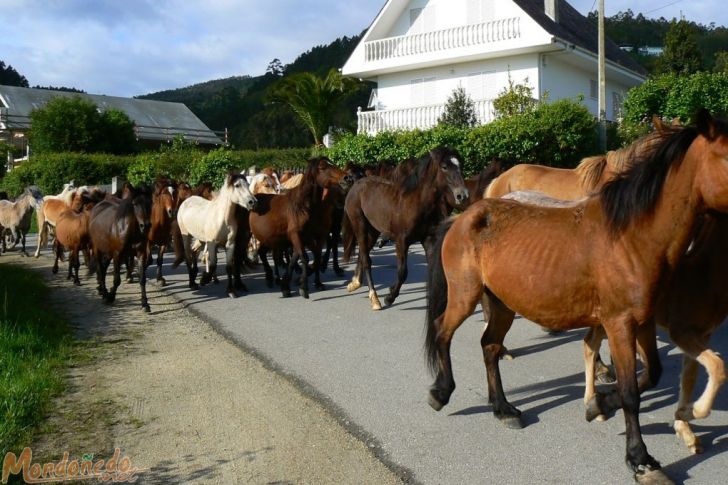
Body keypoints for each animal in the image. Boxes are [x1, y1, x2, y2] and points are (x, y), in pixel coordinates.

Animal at [90, 183, 154, 312]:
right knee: (100, 269)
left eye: (150, 203)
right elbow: (117, 279)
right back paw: (104, 293)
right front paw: (110, 297)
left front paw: (145, 304)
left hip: (107, 252)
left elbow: (142, 279)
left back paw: (103, 291)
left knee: (103, 268)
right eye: (135, 204)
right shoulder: (117, 254)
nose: (145, 226)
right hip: (97, 249)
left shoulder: (141, 253)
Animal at [249, 157, 354, 296]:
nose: (347, 178)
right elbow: (304, 257)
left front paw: (311, 283)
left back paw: (272, 278)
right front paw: (303, 287)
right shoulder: (296, 236)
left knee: (267, 254)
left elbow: (311, 257)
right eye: (322, 167)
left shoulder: (311, 237)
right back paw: (271, 278)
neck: (303, 207)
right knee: (265, 254)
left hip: (272, 239)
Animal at [344, 146, 470, 308]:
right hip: (359, 225)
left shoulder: (427, 239)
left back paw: (355, 283)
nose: (462, 195)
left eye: (460, 166)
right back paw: (375, 299)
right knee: (366, 259)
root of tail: (356, 184)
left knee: (362, 253)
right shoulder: (401, 241)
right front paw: (389, 297)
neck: (416, 203)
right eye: (444, 167)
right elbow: (403, 272)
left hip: (373, 231)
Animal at [424, 110, 728, 484]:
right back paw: (440, 393)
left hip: (502, 304)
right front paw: (640, 460)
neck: (631, 236)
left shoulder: (642, 321)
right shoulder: (619, 324)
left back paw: (503, 409)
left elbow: (651, 374)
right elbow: (630, 392)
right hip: (465, 296)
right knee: (443, 331)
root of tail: (463, 217)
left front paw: (600, 405)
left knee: (490, 347)